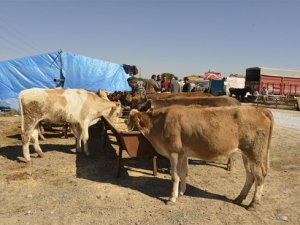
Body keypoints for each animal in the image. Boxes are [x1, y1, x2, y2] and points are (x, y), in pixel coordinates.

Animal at [127, 106, 274, 208]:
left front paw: (172, 198)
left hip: (255, 153)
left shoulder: (174, 152)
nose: (126, 128)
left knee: (259, 176)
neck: (161, 122)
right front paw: (181, 192)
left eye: (128, 119)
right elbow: (183, 173)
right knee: (250, 176)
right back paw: (239, 198)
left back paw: (253, 204)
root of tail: (260, 109)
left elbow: (174, 176)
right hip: (247, 155)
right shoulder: (183, 153)